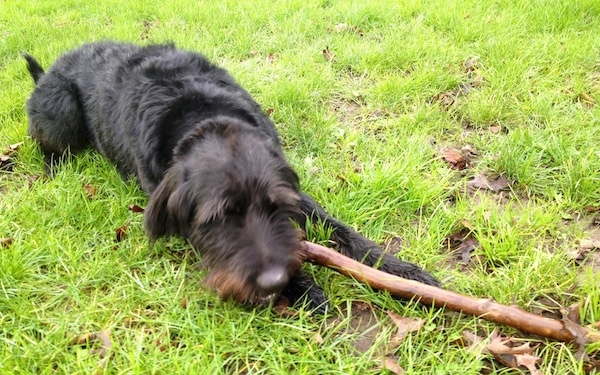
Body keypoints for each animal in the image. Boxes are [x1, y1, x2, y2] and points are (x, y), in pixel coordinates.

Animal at [25, 41, 438, 312]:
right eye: (219, 218)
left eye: (276, 207)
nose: (275, 282)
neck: (203, 115)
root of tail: (49, 70)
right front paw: (303, 287)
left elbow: (339, 229)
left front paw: (402, 273)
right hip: (61, 108)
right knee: (49, 148)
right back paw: (54, 171)